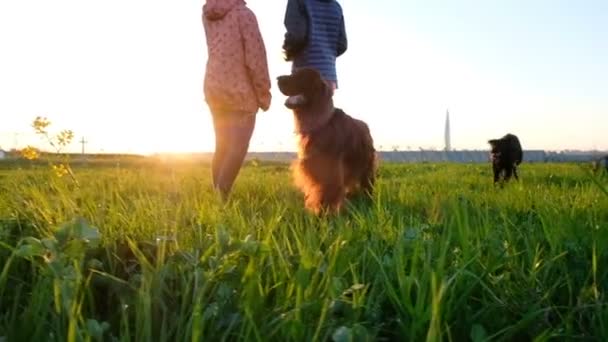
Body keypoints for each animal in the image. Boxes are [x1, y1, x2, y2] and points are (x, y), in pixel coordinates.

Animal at [276, 67, 376, 214]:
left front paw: (323, 215)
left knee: (367, 185)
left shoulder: (330, 171)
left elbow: (326, 195)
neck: (321, 123)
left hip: (366, 167)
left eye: (300, 76)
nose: (277, 78)